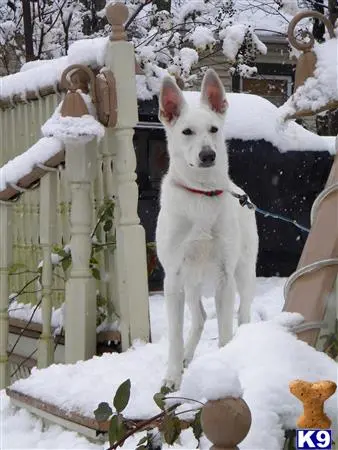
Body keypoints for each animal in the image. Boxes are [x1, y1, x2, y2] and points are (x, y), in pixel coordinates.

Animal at [156, 68, 258, 388]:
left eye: (213, 129)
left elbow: (225, 330)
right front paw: (172, 377)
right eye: (187, 132)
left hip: (245, 271)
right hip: (191, 280)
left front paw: (225, 365)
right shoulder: (173, 278)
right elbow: (175, 336)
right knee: (199, 317)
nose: (208, 155)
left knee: (243, 315)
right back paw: (187, 357)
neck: (201, 194)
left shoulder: (226, 275)